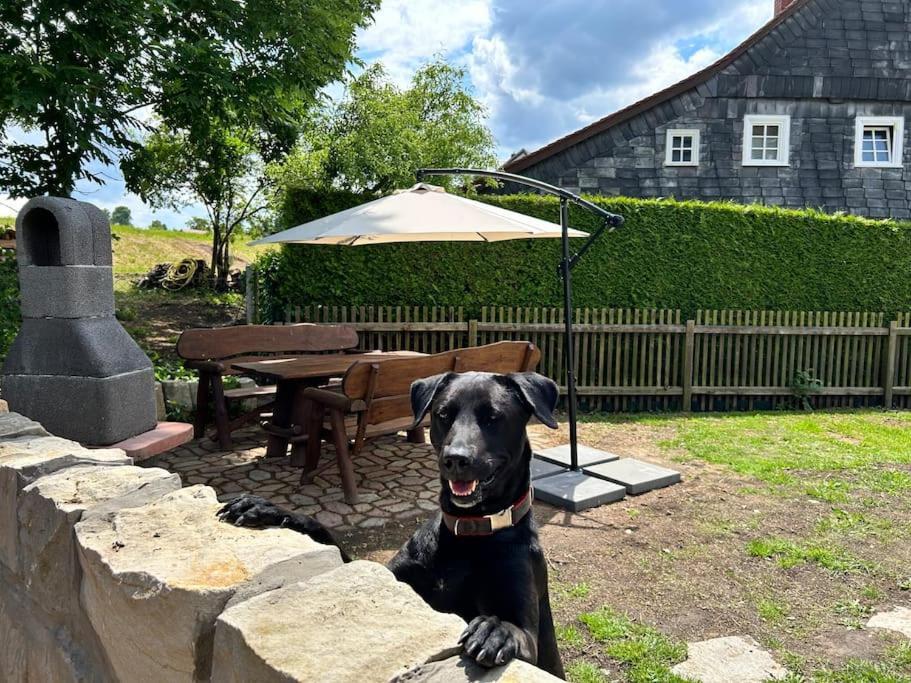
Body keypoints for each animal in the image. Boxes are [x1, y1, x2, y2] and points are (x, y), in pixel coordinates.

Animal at [218, 372, 568, 680]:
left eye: (493, 417)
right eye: (443, 414)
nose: (455, 459)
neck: (467, 532)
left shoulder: (529, 635)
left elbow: (517, 631)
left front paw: (494, 629)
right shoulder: (389, 579)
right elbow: (332, 542)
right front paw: (270, 510)